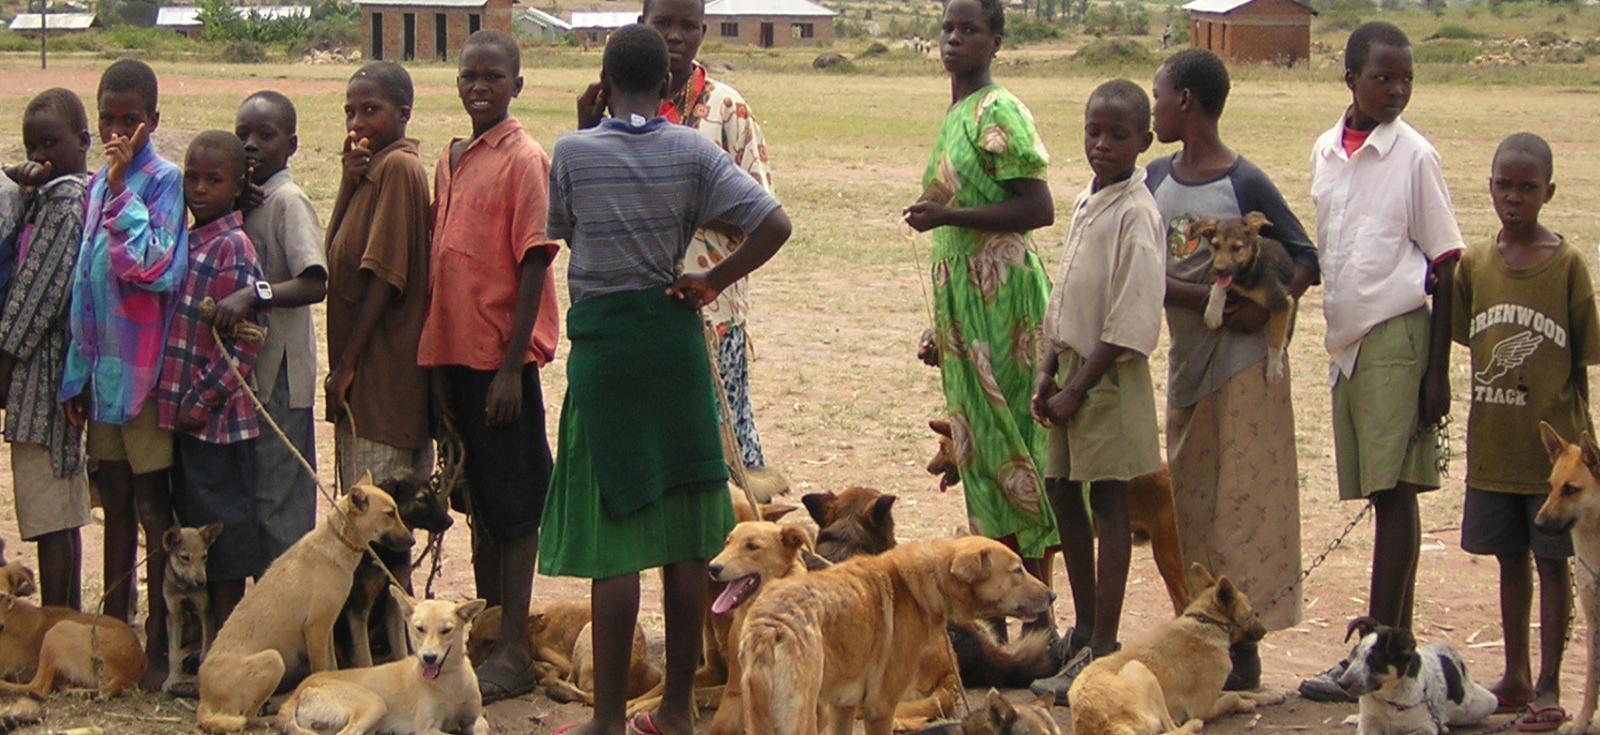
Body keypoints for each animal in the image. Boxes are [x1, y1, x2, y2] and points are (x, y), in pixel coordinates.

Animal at [278, 589, 486, 735]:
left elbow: (482, 727)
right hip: (374, 703)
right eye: (420, 628)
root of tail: (299, 689)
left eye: (446, 630)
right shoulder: (425, 728)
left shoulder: (474, 717)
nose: (429, 657)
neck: (449, 683)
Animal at [1068, 566, 1280, 733]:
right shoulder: (1202, 707)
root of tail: (1098, 721)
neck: (1206, 622)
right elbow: (1233, 695)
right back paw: (1193, 725)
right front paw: (1246, 704)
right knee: (1171, 729)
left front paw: (1269, 696)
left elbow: (1240, 691)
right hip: (1139, 669)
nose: (1265, 631)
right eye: (1251, 614)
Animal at [1196, 212, 1292, 382]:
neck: (1248, 272)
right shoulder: (1230, 281)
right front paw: (1213, 313)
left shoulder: (1282, 302)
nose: (1218, 270)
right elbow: (1219, 287)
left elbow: (1275, 336)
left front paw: (1274, 368)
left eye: (1236, 248)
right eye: (1215, 246)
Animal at [1337, 618, 1497, 733]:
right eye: (1355, 654)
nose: (1342, 684)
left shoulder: (1425, 728)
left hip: (1487, 703)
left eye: (1375, 660)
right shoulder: (1369, 724)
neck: (1390, 699)